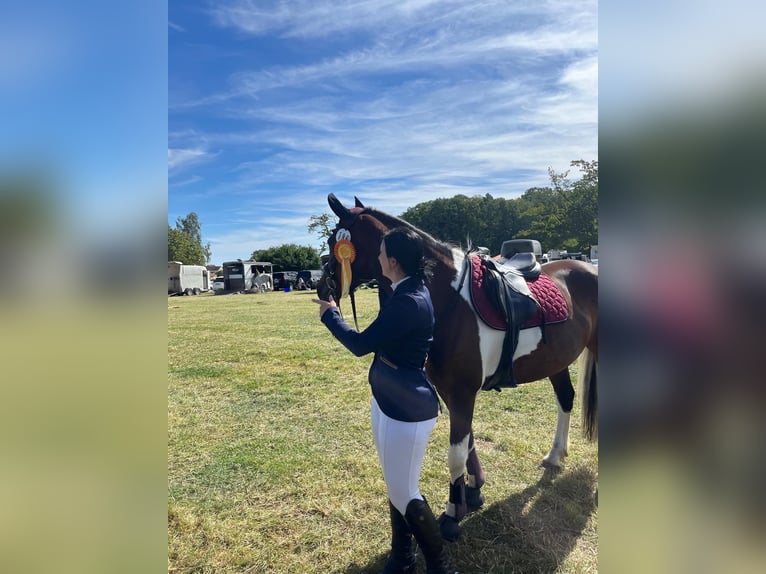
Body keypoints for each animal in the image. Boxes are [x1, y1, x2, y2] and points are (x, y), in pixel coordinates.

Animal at [318, 196, 600, 544]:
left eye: (334, 241)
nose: (322, 286)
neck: (450, 299)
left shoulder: (463, 392)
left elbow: (455, 454)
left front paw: (454, 513)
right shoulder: (449, 390)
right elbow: (467, 443)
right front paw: (474, 491)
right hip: (556, 361)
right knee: (566, 399)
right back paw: (555, 455)